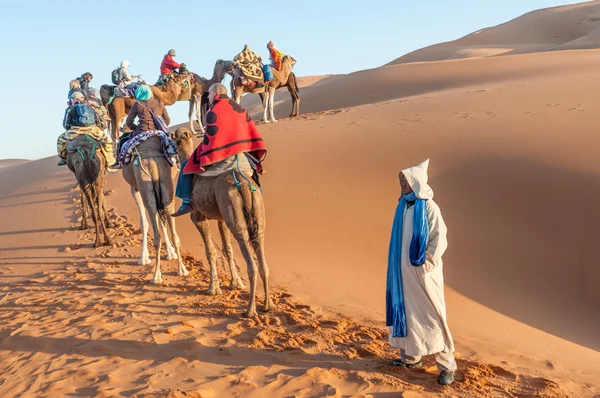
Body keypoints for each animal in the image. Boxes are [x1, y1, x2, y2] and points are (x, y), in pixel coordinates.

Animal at [121, 137, 188, 282]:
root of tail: (151, 164)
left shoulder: (134, 189)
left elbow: (144, 223)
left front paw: (143, 258)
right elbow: (161, 222)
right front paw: (170, 253)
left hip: (144, 184)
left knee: (156, 233)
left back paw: (156, 276)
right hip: (165, 186)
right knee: (173, 231)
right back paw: (182, 270)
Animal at [169, 127, 272, 318]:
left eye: (175, 140)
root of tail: (243, 183)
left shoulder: (198, 217)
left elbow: (210, 251)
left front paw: (213, 289)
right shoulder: (221, 218)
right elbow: (227, 249)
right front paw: (235, 283)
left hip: (233, 211)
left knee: (250, 260)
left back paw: (250, 310)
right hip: (255, 211)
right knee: (262, 259)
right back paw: (267, 305)